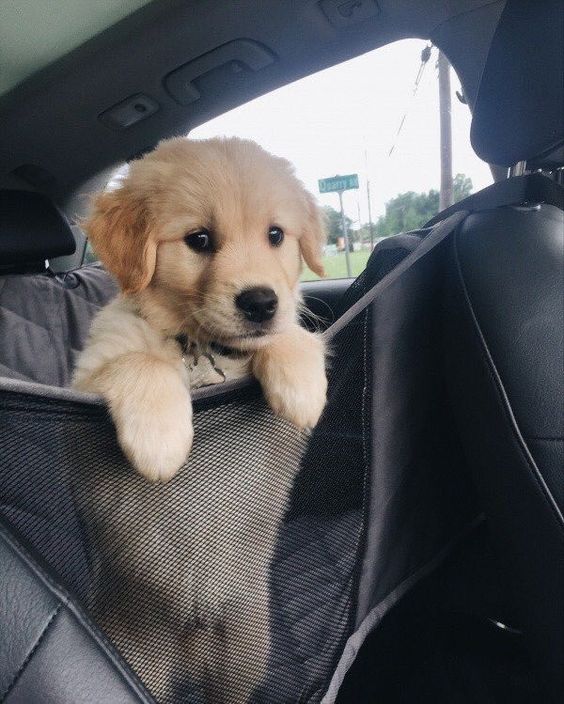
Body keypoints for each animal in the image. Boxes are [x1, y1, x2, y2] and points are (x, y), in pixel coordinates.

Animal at [73, 135, 328, 482]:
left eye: (275, 234)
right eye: (199, 239)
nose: (261, 304)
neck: (200, 348)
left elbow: (288, 333)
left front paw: (302, 388)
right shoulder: (83, 380)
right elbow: (139, 361)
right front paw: (159, 438)